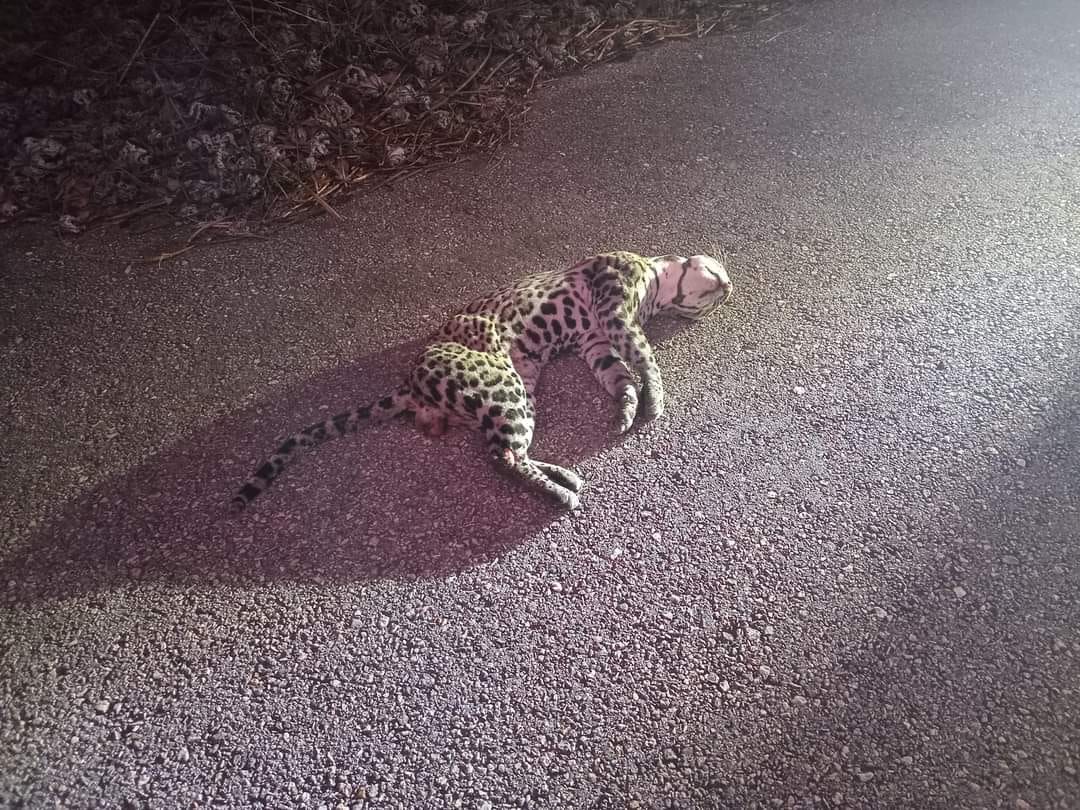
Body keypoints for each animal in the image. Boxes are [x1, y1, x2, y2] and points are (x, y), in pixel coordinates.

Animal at [232, 250, 733, 512]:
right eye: (720, 274)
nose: (730, 288)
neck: (655, 284)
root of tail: (410, 381)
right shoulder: (615, 312)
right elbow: (646, 359)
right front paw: (654, 400)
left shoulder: (596, 343)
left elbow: (620, 376)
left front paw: (627, 407)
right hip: (505, 386)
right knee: (503, 457)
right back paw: (561, 494)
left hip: (518, 392)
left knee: (507, 451)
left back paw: (562, 476)